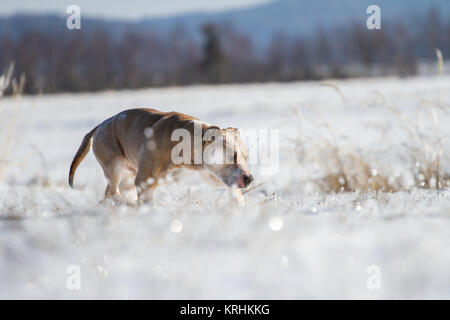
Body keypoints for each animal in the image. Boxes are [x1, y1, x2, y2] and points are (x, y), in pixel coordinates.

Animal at [69, 109, 253, 204]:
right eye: (231, 156)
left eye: (245, 157)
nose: (249, 178)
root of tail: (101, 124)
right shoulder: (144, 180)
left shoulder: (210, 175)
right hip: (114, 166)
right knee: (112, 191)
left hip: (127, 175)